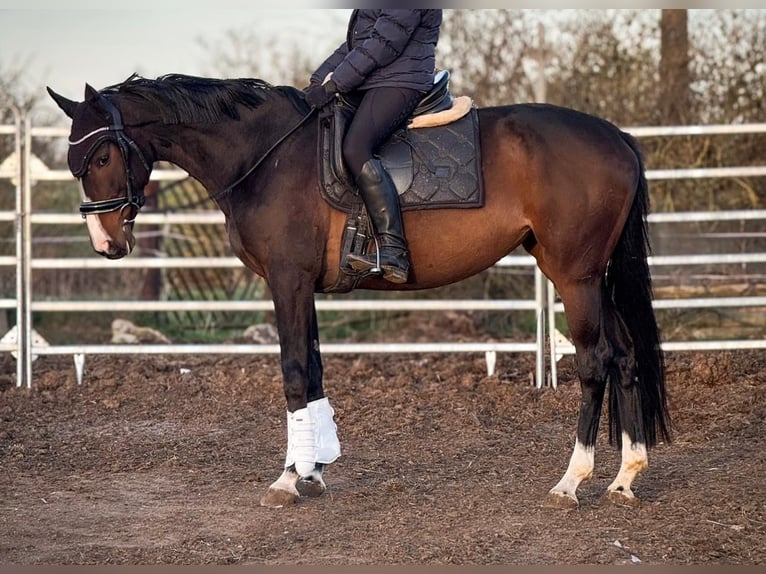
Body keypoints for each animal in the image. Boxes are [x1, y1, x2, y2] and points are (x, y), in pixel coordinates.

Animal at [47, 73, 670, 509]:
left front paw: (288, 479)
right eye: (77, 161)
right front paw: (315, 470)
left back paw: (572, 481)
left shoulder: (288, 282)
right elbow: (315, 373)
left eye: (102, 155)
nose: (106, 242)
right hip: (592, 277)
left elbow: (294, 372)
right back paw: (625, 477)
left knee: (595, 362)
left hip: (575, 276)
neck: (266, 155)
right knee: (625, 356)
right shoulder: (302, 288)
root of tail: (615, 136)